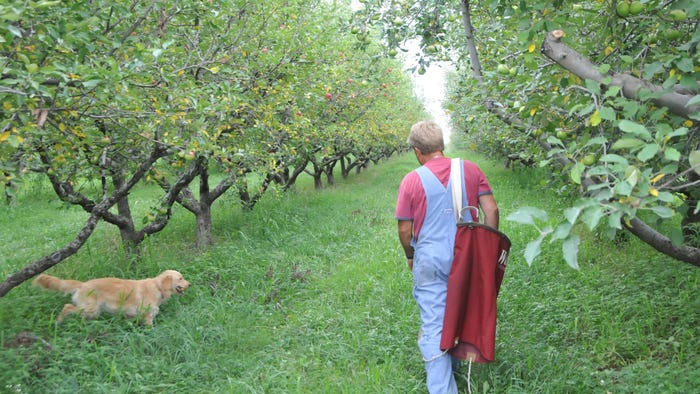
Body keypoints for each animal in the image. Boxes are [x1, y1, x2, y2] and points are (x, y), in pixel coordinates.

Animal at [33, 270, 189, 324]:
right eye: (180, 278)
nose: (190, 284)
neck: (157, 287)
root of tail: (83, 284)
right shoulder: (148, 314)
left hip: (92, 312)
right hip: (91, 309)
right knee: (67, 307)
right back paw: (58, 321)